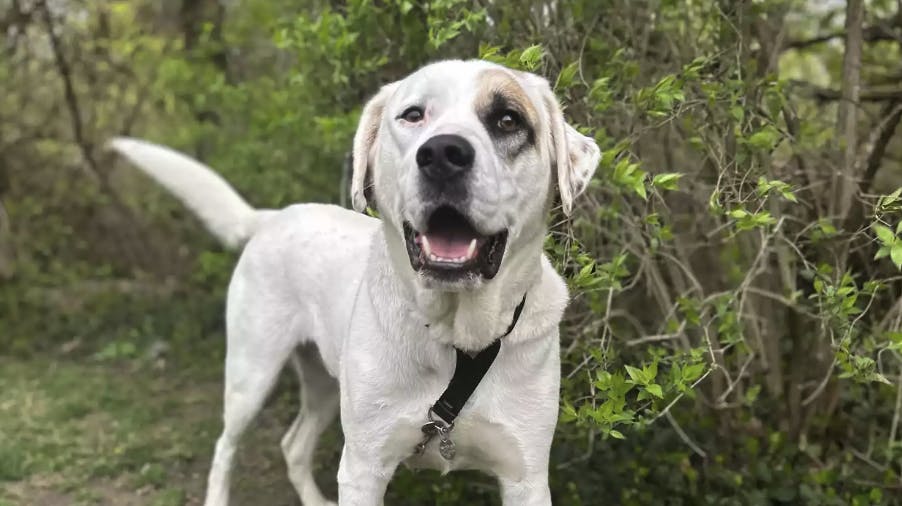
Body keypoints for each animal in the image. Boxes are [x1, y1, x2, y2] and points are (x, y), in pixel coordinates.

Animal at [111, 59, 600, 506]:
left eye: (508, 120)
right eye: (413, 115)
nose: (442, 154)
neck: (456, 338)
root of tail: (274, 216)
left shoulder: (525, 476)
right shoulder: (364, 468)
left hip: (325, 384)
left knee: (293, 446)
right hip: (252, 374)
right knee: (225, 448)